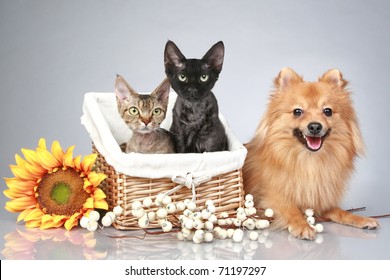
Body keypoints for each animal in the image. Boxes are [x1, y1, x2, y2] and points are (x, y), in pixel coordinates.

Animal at [244, 68, 378, 241]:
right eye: (297, 112)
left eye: (327, 111)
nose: (315, 126)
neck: (310, 161)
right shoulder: (272, 198)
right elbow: (292, 210)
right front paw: (302, 226)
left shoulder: (320, 200)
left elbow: (341, 212)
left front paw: (361, 219)